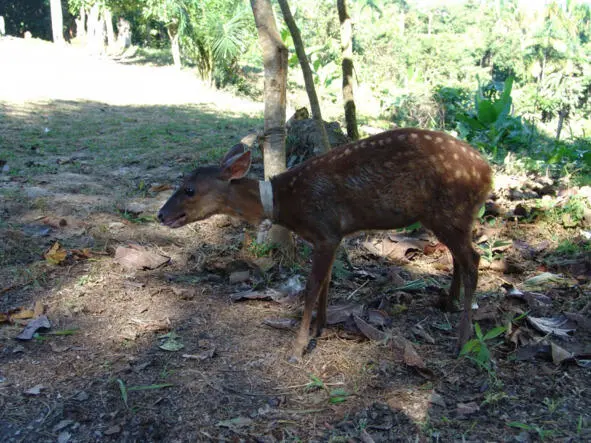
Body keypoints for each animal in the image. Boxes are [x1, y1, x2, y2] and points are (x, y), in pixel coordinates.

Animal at [158, 128, 494, 360]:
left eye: (189, 189)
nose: (161, 214)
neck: (286, 204)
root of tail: (488, 172)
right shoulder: (333, 235)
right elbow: (327, 282)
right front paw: (321, 327)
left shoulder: (325, 231)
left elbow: (311, 287)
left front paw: (297, 348)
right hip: (445, 217)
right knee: (459, 258)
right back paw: (447, 304)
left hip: (451, 211)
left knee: (473, 260)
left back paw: (462, 341)